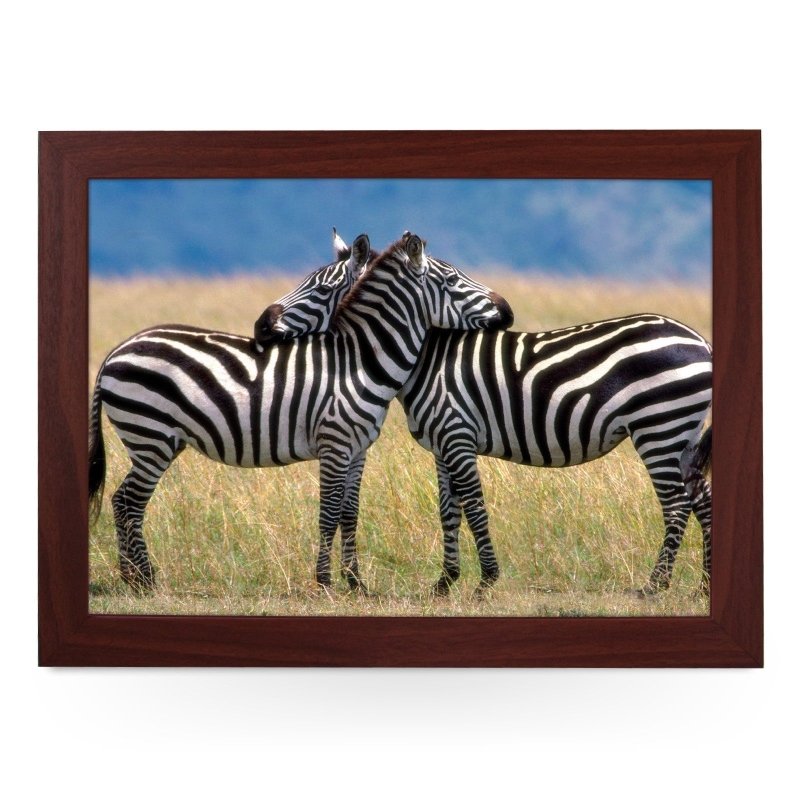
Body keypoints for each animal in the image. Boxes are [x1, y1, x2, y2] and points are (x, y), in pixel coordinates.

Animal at [88, 233, 513, 591]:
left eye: (321, 288)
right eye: (454, 280)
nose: (507, 310)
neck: (359, 361)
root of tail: (116, 350)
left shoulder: (358, 448)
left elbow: (349, 512)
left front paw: (356, 583)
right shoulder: (334, 443)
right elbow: (328, 511)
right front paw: (325, 583)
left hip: (159, 440)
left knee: (124, 502)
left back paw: (134, 578)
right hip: (151, 437)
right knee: (128, 503)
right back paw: (143, 581)